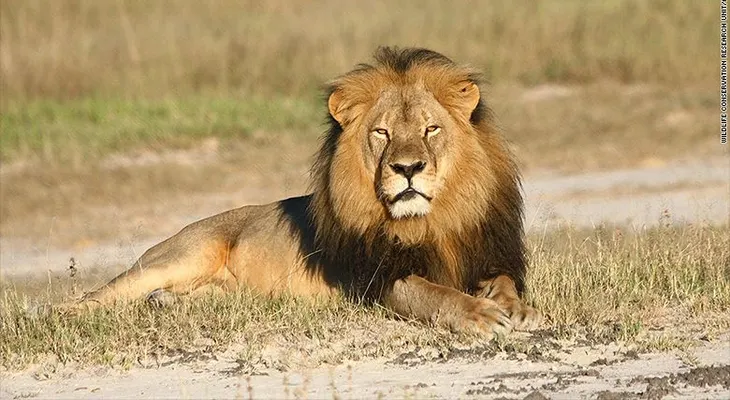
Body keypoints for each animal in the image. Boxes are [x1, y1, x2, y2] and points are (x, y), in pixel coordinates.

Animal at [66, 47, 541, 336]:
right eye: (382, 133)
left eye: (431, 129)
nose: (407, 168)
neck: (431, 221)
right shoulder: (376, 280)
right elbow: (433, 293)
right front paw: (480, 314)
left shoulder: (489, 253)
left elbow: (503, 281)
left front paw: (516, 308)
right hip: (180, 255)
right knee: (97, 296)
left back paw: (165, 304)